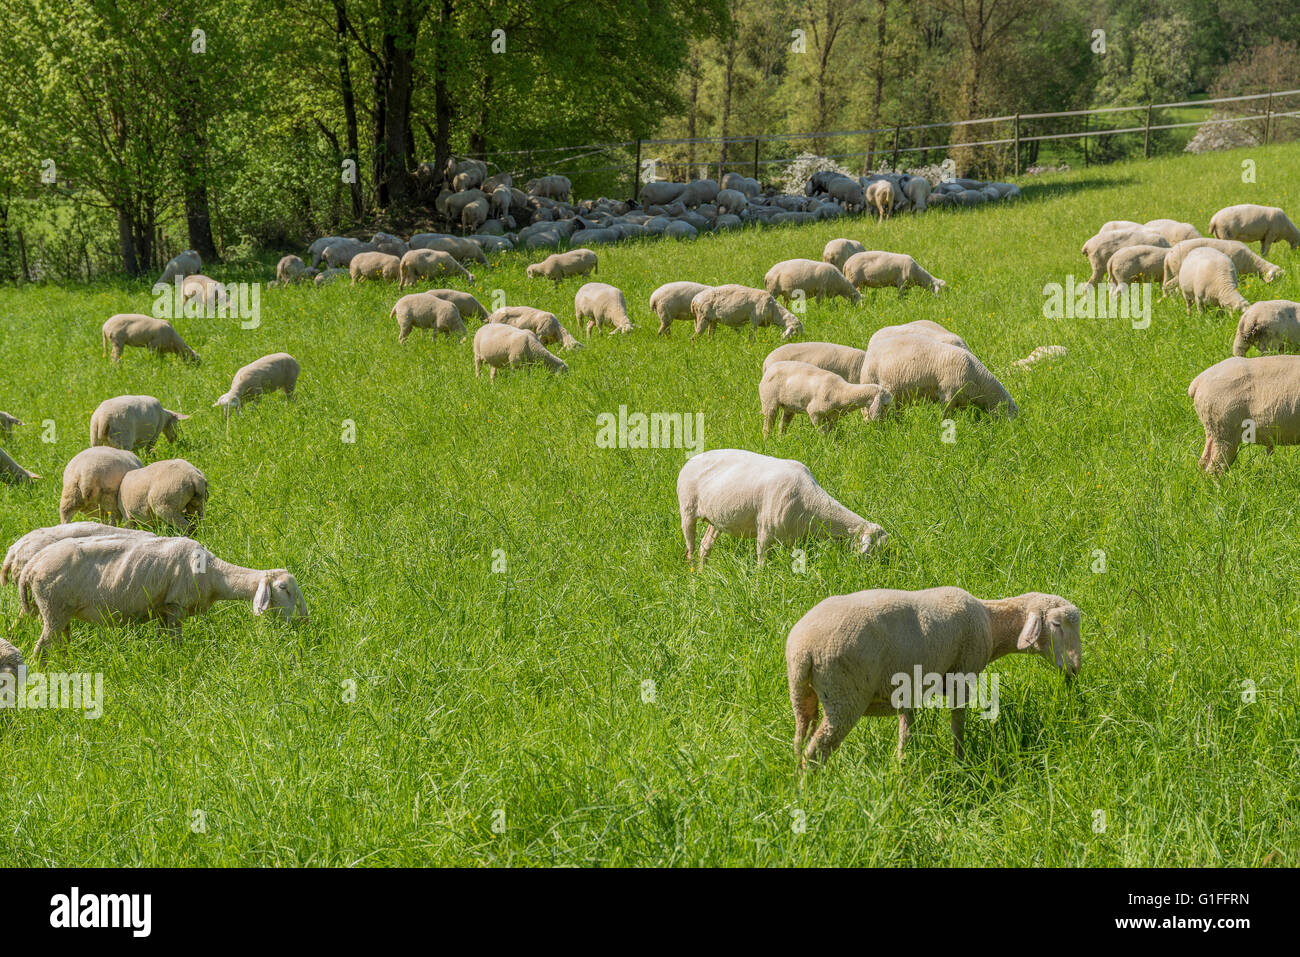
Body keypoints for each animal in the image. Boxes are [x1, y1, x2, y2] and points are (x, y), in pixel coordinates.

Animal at [17, 535, 306, 660]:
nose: (303, 620)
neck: (215, 575)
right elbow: (176, 643)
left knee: (59, 644)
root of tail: (31, 567)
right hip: (52, 607)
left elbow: (162, 641)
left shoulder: (162, 611)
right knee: (41, 647)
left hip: (61, 612)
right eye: (283, 588)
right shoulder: (175, 606)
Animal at [676, 447, 889, 566]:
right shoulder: (765, 531)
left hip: (716, 519)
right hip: (687, 510)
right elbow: (762, 563)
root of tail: (690, 460)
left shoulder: (793, 539)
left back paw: (704, 572)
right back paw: (694, 577)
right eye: (872, 552)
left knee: (705, 547)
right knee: (691, 550)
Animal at [759, 358, 894, 434]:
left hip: (789, 406)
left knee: (782, 425)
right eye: (885, 404)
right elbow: (823, 434)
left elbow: (831, 434)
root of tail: (769, 368)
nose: (886, 423)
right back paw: (767, 442)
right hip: (769, 401)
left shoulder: (832, 417)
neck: (842, 392)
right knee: (767, 426)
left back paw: (781, 439)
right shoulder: (814, 412)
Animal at [785, 582, 1081, 764]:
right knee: (816, 751)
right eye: (1056, 624)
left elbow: (907, 731)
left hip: (802, 693)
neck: (991, 622)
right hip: (844, 696)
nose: (1075, 668)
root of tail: (804, 648)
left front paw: (903, 767)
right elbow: (957, 725)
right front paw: (959, 760)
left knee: (800, 739)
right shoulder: (962, 675)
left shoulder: (909, 690)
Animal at [857, 335, 1019, 416]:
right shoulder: (948, 395)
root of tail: (870, 349)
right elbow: (946, 415)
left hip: (896, 395)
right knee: (866, 412)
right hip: (869, 383)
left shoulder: (962, 400)